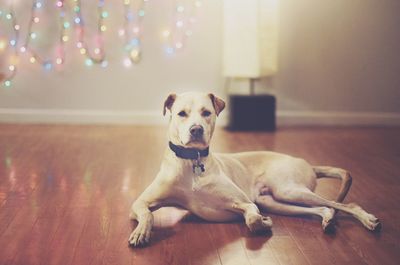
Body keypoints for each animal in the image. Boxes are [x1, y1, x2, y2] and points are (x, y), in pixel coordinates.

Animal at [129, 92, 382, 246]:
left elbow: (251, 219)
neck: (192, 162)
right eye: (181, 113)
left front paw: (263, 223)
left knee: (345, 205)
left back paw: (368, 220)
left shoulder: (246, 203)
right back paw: (328, 221)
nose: (196, 130)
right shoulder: (139, 204)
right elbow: (146, 214)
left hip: (288, 190)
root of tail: (308, 163)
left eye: (206, 113)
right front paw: (141, 232)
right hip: (277, 201)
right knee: (324, 208)